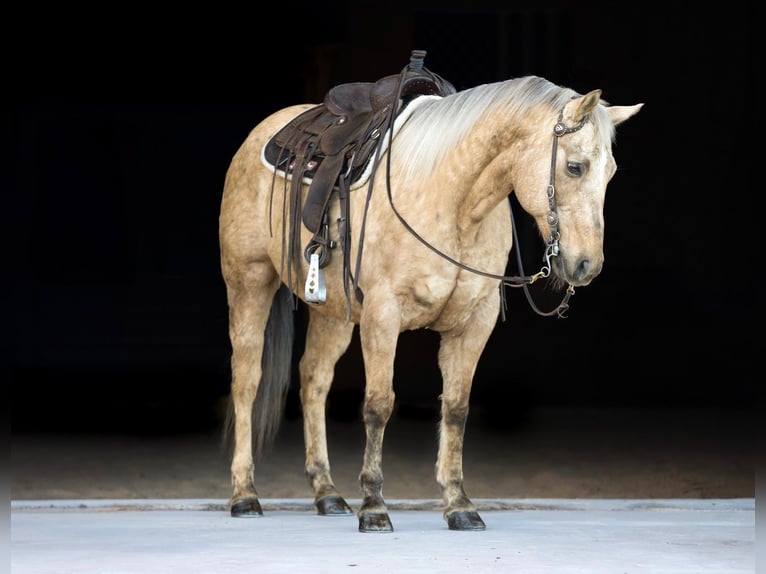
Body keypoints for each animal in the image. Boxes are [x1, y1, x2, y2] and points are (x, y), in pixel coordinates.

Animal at [218, 54, 642, 532]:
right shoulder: (383, 315)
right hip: (249, 282)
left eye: (610, 173)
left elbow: (456, 407)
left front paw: (459, 504)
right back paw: (244, 495)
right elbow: (379, 404)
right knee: (246, 379)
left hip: (333, 311)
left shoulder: (474, 322)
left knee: (314, 379)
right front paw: (374, 507)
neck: (455, 202)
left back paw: (327, 493)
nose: (587, 265)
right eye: (575, 167)